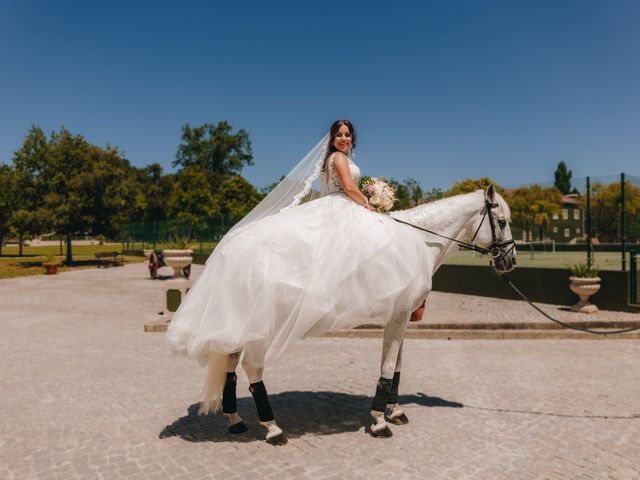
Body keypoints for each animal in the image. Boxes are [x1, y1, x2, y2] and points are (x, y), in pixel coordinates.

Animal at [195, 183, 516, 442]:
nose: (510, 261)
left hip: (241, 324)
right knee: (252, 367)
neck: (418, 241)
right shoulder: (398, 316)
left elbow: (396, 367)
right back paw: (273, 428)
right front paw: (378, 422)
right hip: (262, 325)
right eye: (501, 222)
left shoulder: (400, 316)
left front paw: (394, 411)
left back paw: (235, 420)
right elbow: (387, 368)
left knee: (230, 366)